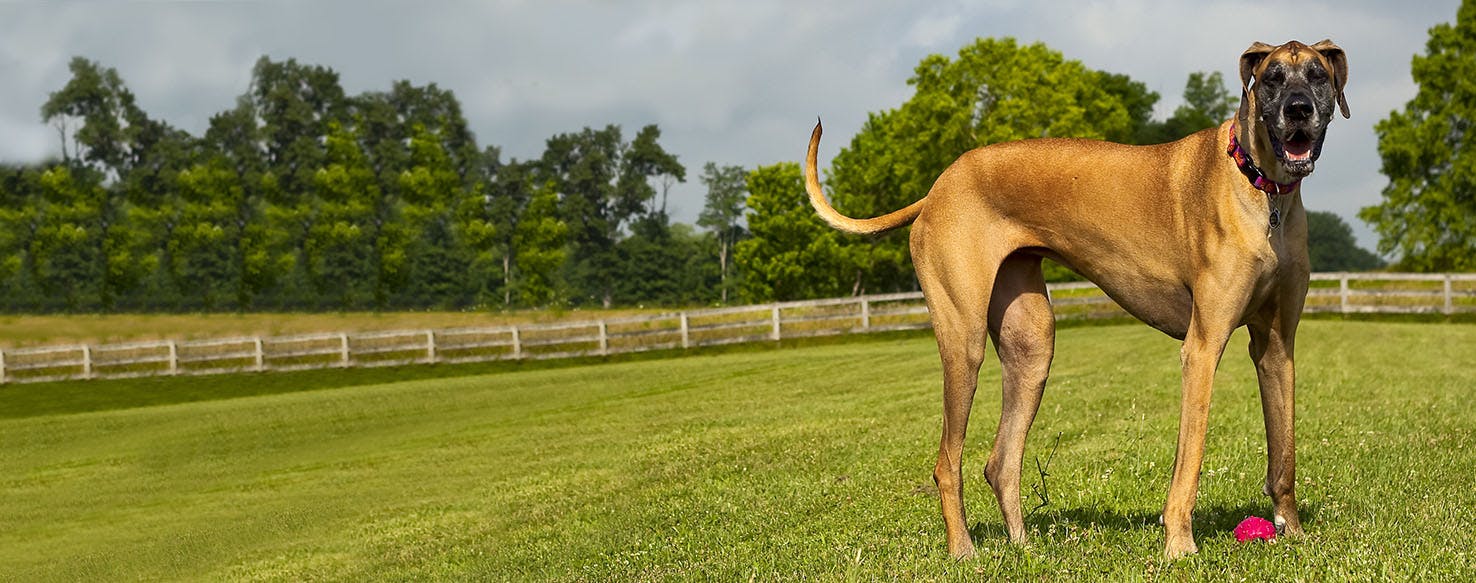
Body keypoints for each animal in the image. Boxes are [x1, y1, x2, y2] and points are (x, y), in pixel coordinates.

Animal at [808, 38, 1352, 557]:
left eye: (1318, 76)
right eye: (1272, 78)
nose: (1298, 109)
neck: (1262, 189)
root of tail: (938, 186)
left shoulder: (1276, 347)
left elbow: (1284, 457)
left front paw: (1294, 534)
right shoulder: (1201, 346)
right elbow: (1190, 459)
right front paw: (1179, 545)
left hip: (1031, 344)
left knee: (1001, 462)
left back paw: (1023, 547)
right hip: (963, 342)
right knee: (948, 462)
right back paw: (964, 551)